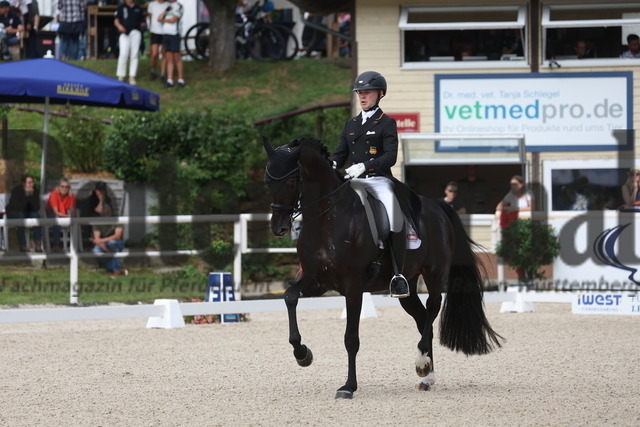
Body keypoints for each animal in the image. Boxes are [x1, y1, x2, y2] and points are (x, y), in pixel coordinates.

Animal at [262, 138, 502, 402]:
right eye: (267, 182)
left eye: (290, 181)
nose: (278, 227)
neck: (329, 219)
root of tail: (437, 206)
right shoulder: (316, 280)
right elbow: (289, 297)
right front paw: (302, 354)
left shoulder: (353, 286)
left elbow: (351, 339)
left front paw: (348, 386)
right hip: (407, 284)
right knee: (422, 319)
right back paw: (427, 376)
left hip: (435, 273)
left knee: (432, 308)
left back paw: (421, 363)